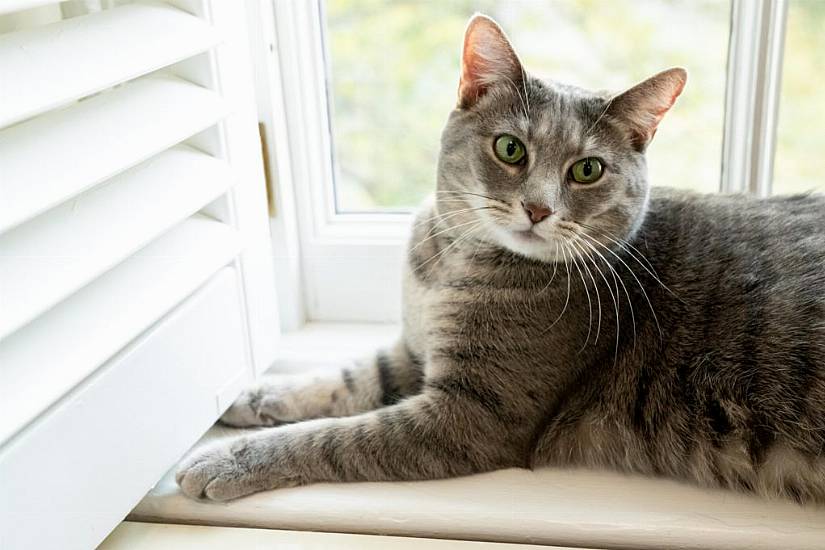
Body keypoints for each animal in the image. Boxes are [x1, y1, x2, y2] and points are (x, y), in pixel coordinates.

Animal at [175, 14, 824, 504]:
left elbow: (333, 438)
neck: (450, 263)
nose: (537, 208)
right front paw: (253, 397)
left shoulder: (469, 416)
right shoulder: (413, 350)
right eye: (510, 149)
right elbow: (347, 380)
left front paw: (229, 458)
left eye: (588, 169)